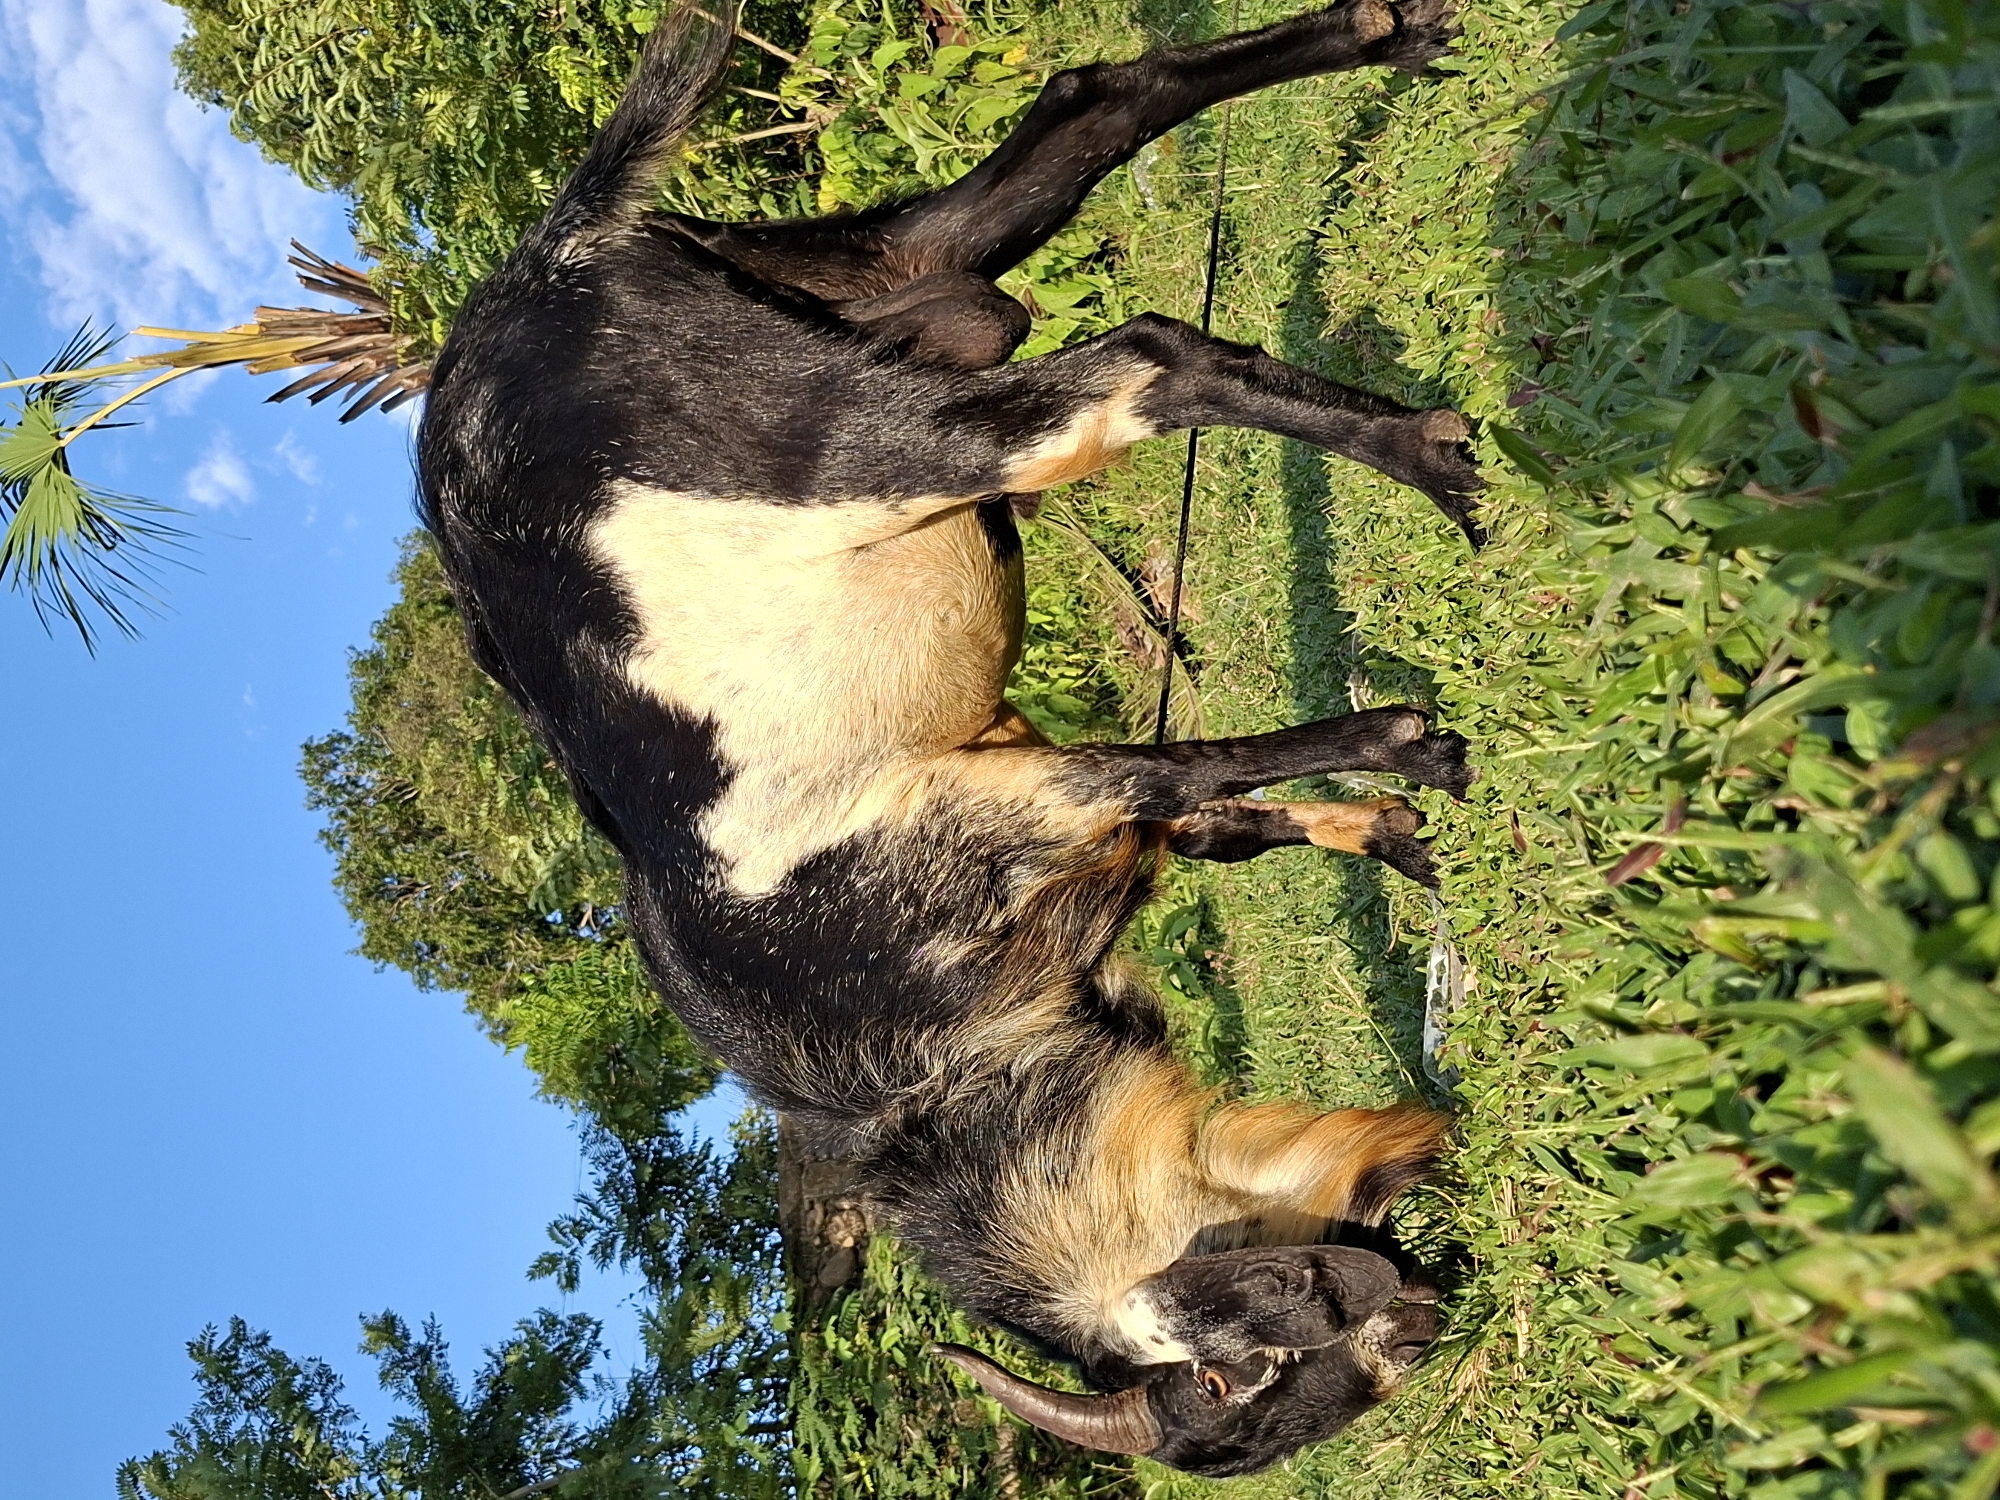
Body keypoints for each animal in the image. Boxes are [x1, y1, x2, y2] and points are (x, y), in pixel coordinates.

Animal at [417, 0, 1482, 1476]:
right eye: (1248, 1392)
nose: (1418, 1315)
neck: (901, 1075)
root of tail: (546, 263)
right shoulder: (1047, 794)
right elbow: (1227, 815)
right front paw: (1406, 834)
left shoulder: (997, 803)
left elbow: (1185, 767)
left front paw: (1413, 749)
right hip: (892, 281)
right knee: (1100, 106)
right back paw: (1387, 39)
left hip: (858, 433)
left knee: (1145, 364)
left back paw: (1434, 465)